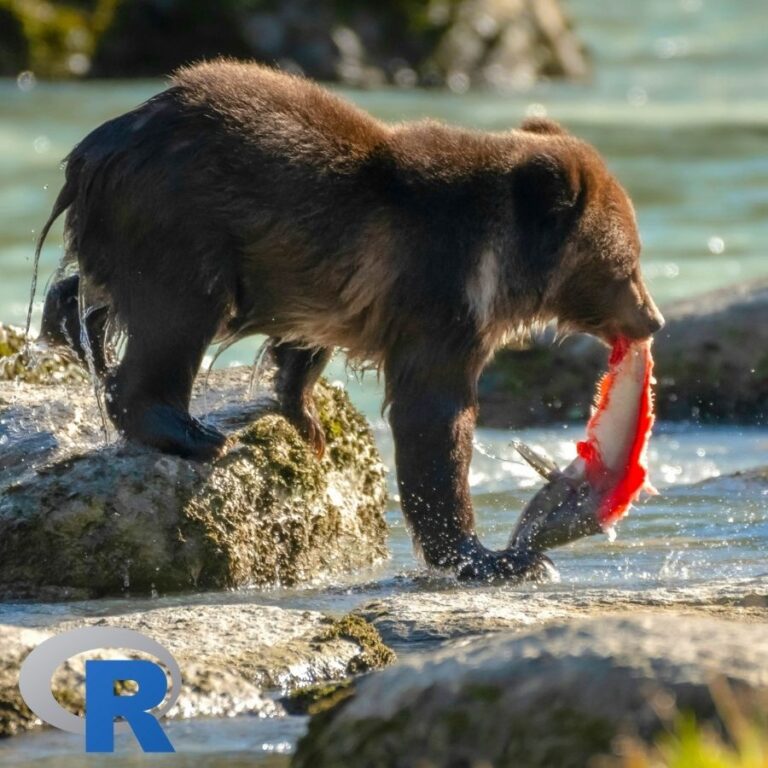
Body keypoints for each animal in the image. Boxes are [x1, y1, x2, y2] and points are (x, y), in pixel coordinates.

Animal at [34, 60, 663, 580]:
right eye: (627, 262)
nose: (652, 320)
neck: (496, 260)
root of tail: (95, 148)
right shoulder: (439, 295)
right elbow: (434, 416)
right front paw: (486, 556)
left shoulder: (330, 286)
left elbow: (305, 346)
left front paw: (305, 417)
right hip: (180, 218)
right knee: (176, 316)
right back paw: (191, 432)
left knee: (94, 291)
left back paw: (73, 330)